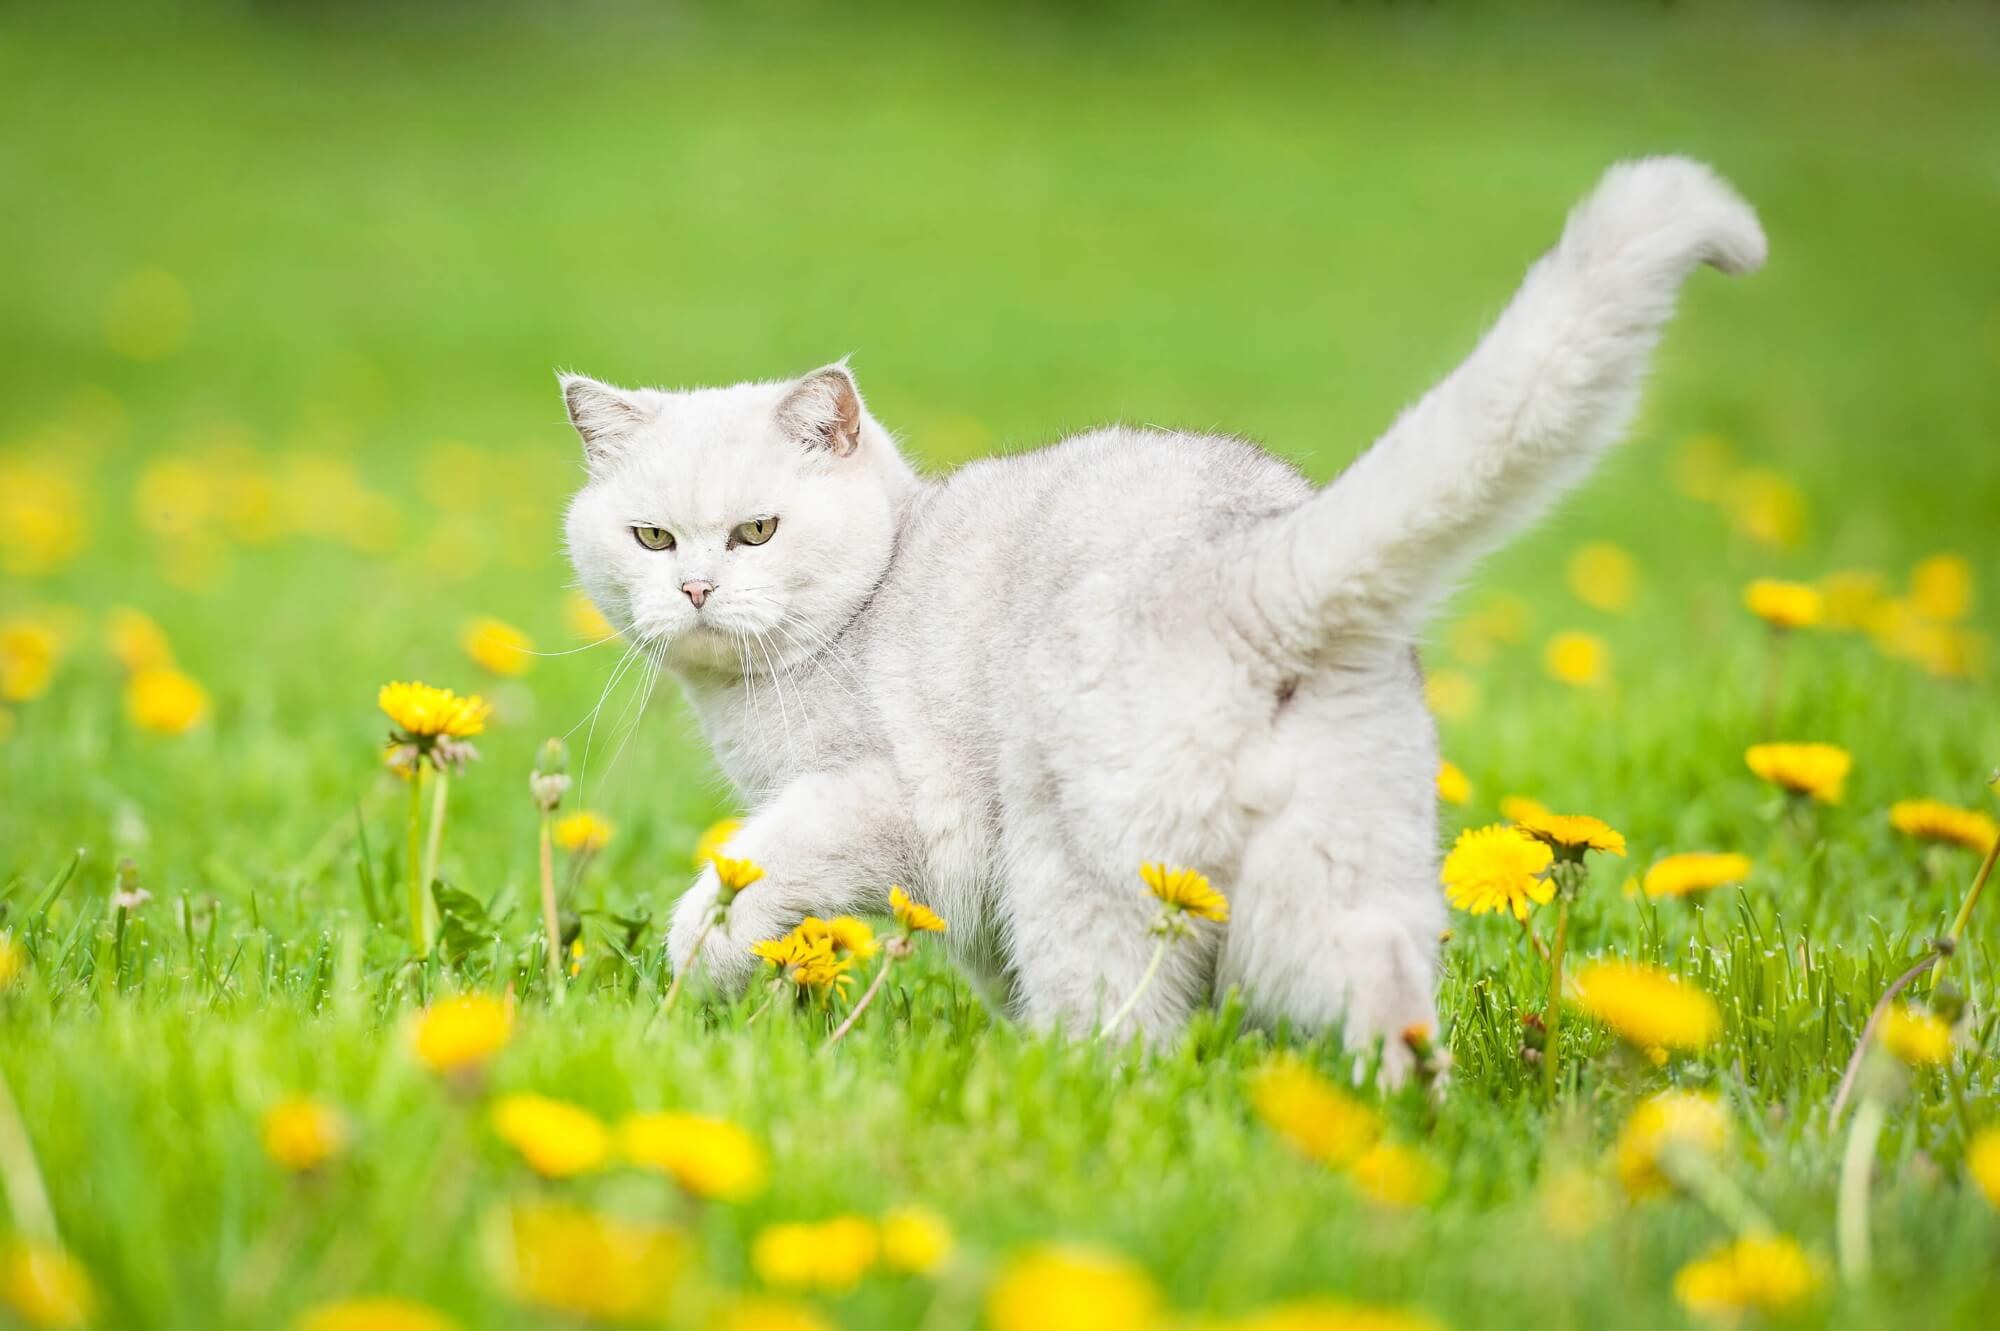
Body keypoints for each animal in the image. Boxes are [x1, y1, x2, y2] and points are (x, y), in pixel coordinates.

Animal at [556, 155, 1760, 1071]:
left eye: (756, 531)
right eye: (652, 540)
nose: (695, 589)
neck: (876, 586)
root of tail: (1253, 574)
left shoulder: (870, 802)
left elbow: (741, 886)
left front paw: (693, 969)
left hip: (1081, 874)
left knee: (1122, 1038)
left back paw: (1056, 1090)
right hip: (1333, 874)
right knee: (1386, 996)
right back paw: (1394, 1121)